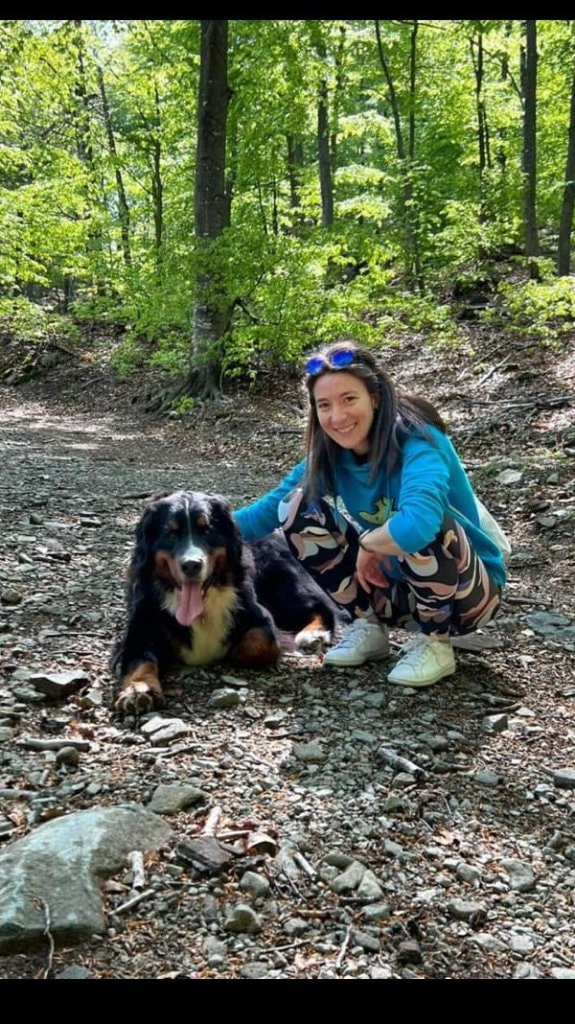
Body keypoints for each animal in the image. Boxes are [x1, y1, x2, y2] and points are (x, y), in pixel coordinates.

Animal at [112, 489, 344, 714]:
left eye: (206, 530)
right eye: (171, 533)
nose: (191, 565)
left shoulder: (259, 615)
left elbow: (260, 642)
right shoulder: (141, 628)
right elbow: (140, 662)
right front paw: (139, 690)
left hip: (285, 589)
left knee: (322, 607)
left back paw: (313, 634)